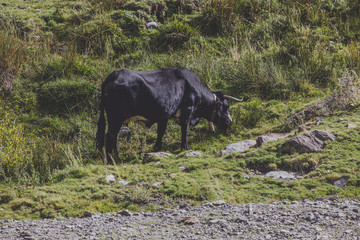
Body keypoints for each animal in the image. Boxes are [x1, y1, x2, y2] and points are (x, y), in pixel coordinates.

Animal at [97, 66, 240, 162]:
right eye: (225, 106)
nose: (229, 121)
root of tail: (114, 74)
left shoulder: (164, 115)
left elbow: (161, 132)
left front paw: (156, 149)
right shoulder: (187, 110)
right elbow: (184, 130)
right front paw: (185, 147)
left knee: (112, 136)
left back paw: (114, 155)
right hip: (115, 117)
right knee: (110, 136)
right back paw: (112, 158)